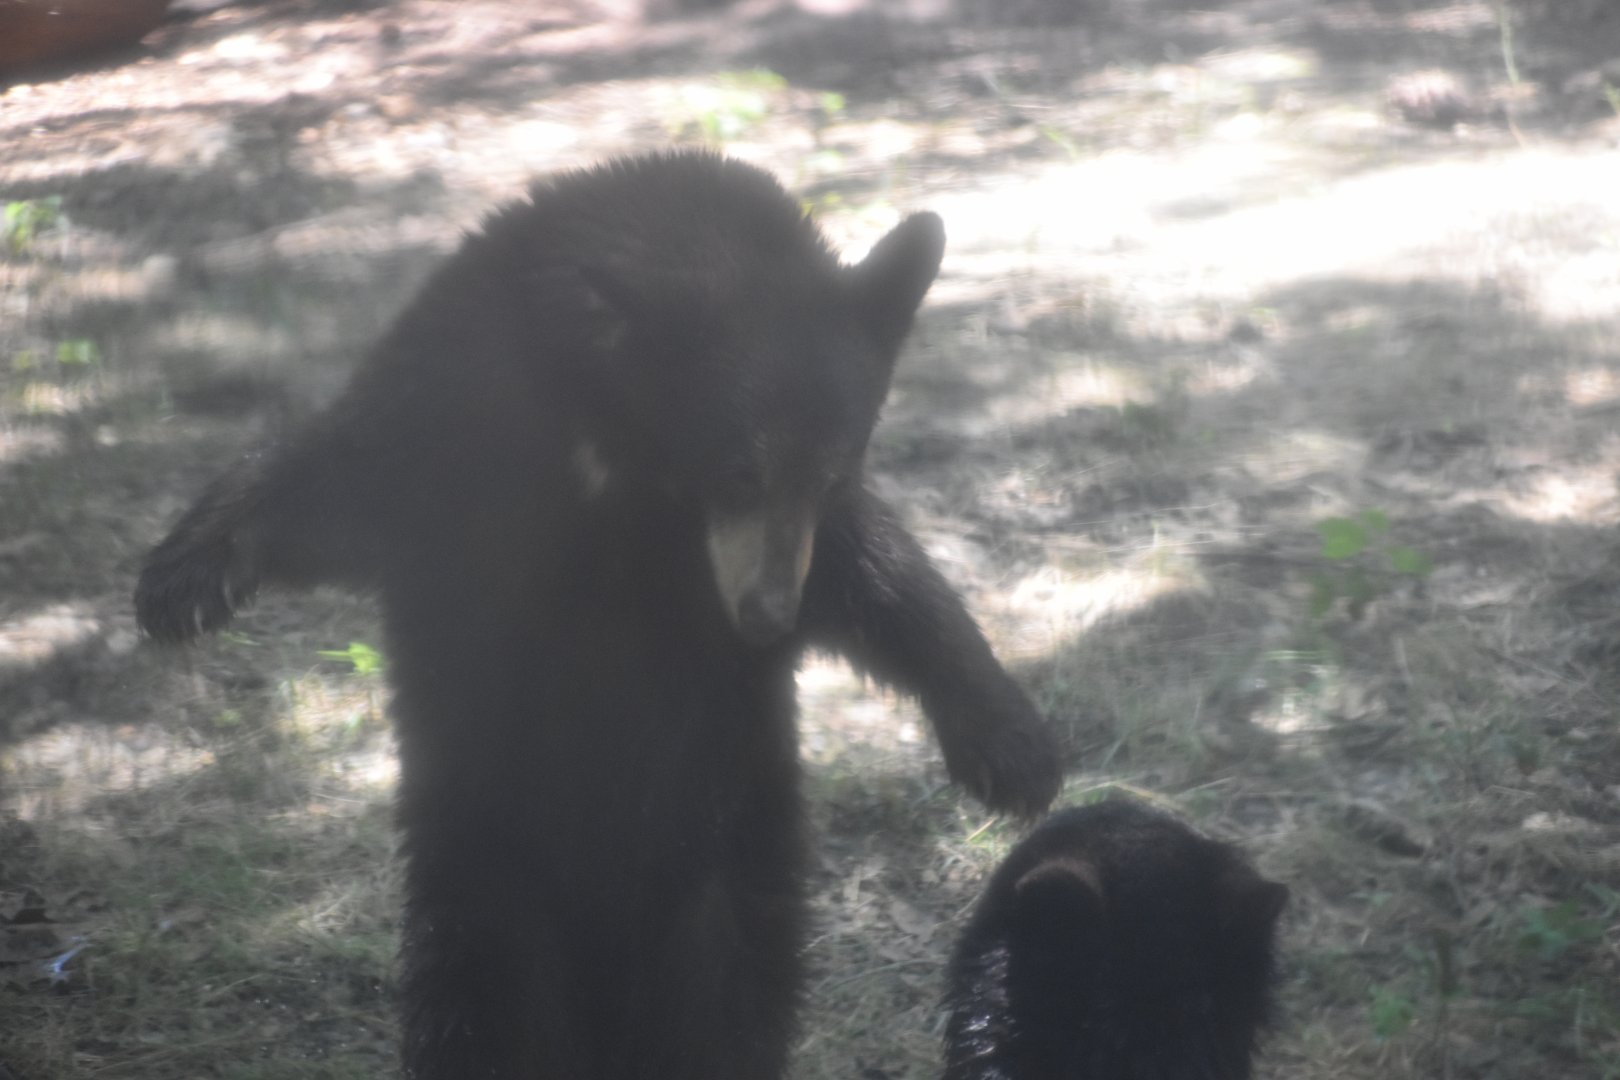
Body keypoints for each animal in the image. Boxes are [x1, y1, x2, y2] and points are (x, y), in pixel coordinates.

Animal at [135, 150, 1063, 1080]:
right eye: (738, 472)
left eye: (830, 474)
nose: (767, 620)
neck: (615, 431)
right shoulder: (456, 418)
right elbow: (339, 479)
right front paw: (181, 579)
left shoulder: (779, 545)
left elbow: (879, 576)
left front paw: (1012, 747)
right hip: (486, 877)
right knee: (486, 1010)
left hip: (731, 863)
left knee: (727, 1004)